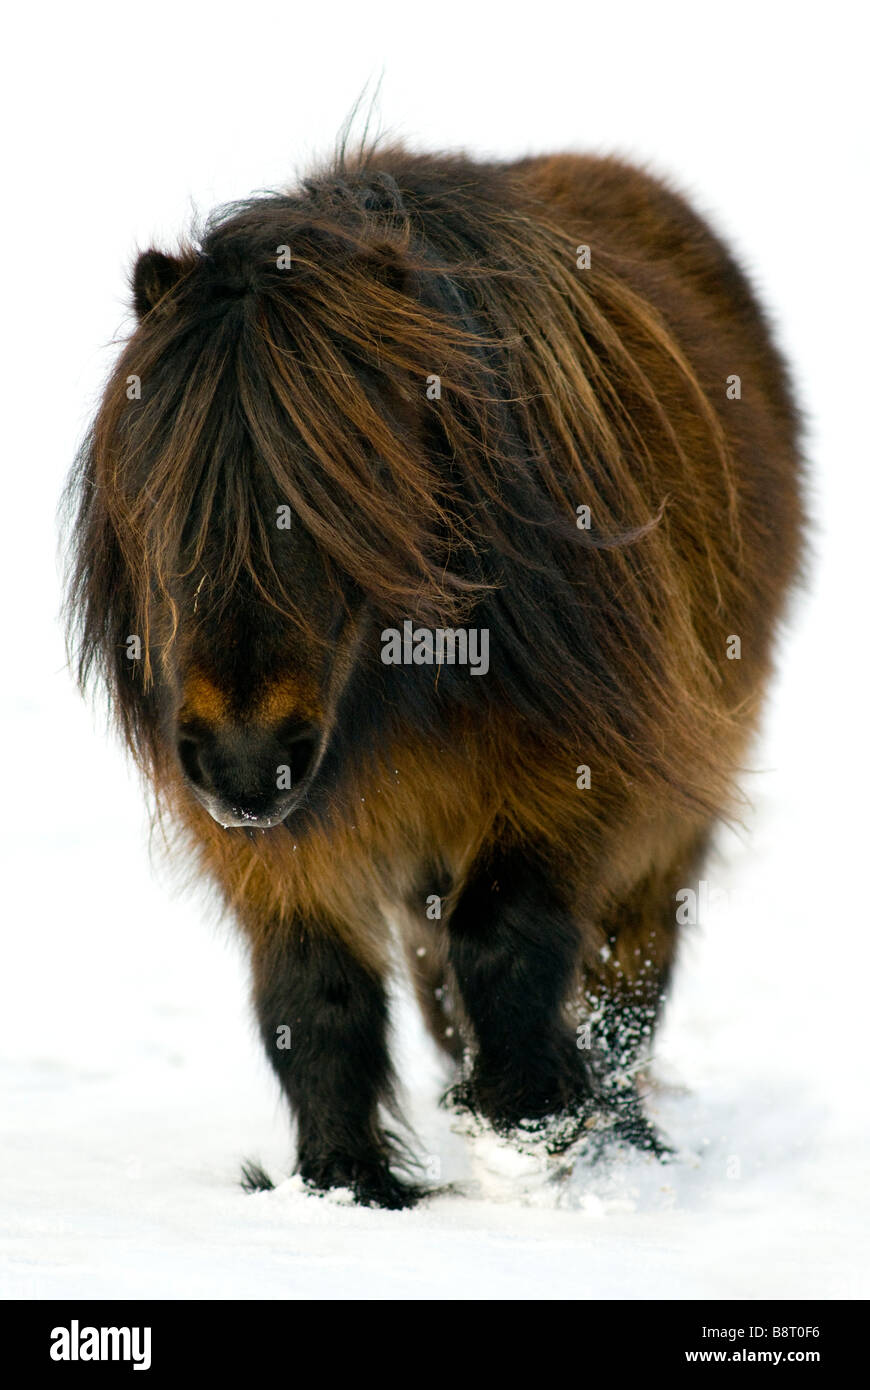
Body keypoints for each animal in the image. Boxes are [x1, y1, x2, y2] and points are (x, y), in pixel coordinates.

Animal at [64, 143, 800, 1206]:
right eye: (159, 500)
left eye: (355, 490)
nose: (247, 763)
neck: (398, 681)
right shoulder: (265, 834)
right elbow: (314, 995)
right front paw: (347, 1185)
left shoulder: (577, 774)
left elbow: (507, 941)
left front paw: (532, 1126)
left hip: (665, 826)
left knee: (628, 976)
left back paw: (614, 1134)